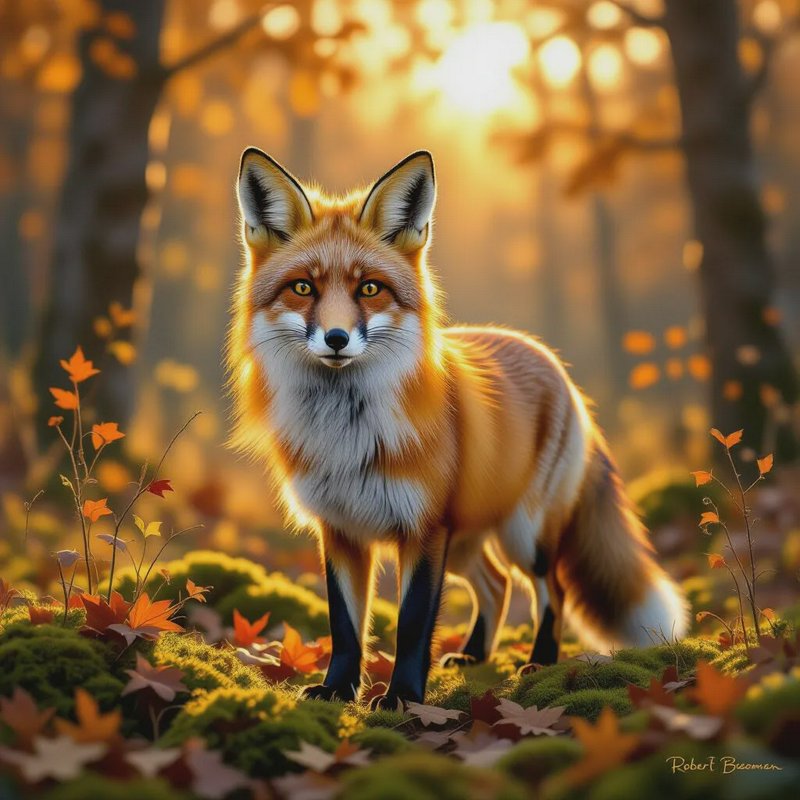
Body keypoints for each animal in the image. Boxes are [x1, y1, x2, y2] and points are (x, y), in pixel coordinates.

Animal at [227, 148, 689, 708]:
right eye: (302, 288)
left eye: (369, 288)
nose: (336, 338)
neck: (348, 436)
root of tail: (554, 363)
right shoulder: (339, 530)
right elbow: (345, 627)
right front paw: (338, 690)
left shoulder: (424, 529)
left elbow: (411, 623)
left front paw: (402, 698)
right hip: (468, 540)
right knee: (497, 584)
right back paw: (474, 655)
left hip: (523, 534)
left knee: (550, 588)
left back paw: (539, 661)